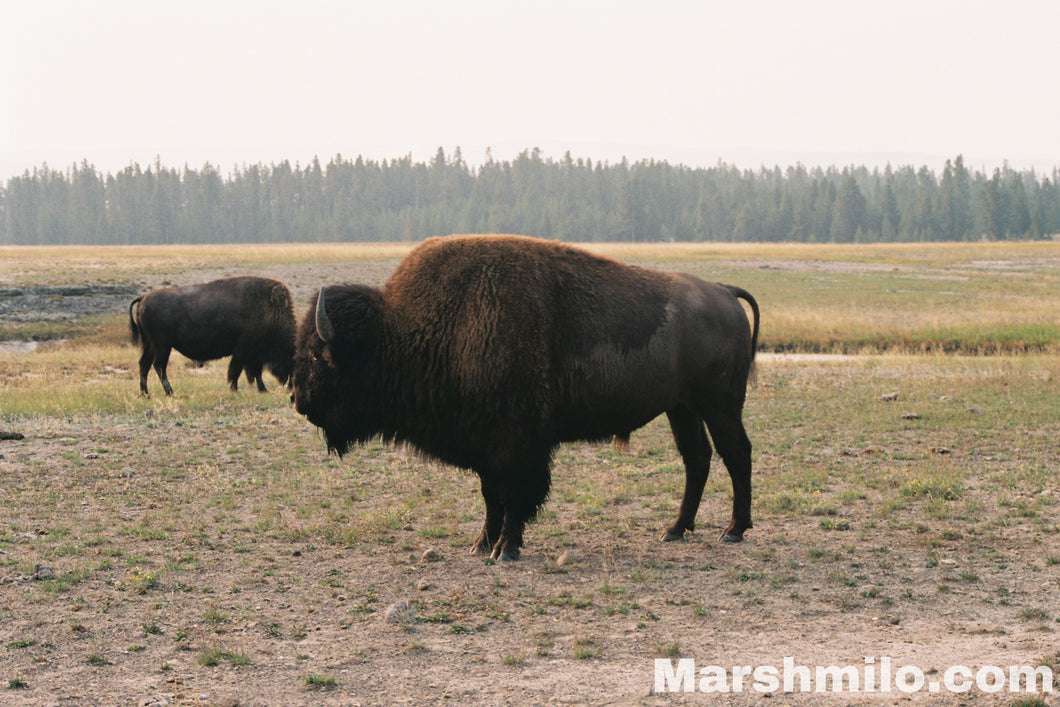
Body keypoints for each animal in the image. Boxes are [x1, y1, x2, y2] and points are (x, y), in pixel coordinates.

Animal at [132, 275, 301, 398]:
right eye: (292, 358)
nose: (292, 388)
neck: (271, 311)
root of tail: (144, 297)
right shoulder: (244, 351)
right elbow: (238, 371)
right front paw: (235, 389)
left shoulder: (251, 354)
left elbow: (252, 372)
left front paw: (261, 389)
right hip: (163, 346)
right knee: (159, 366)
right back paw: (170, 392)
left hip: (150, 345)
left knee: (144, 364)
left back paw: (145, 394)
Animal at [290, 235, 758, 559]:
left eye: (318, 354)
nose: (297, 397)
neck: (405, 331)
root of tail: (722, 290)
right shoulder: (483, 444)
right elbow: (490, 497)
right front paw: (481, 544)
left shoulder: (516, 445)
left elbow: (515, 495)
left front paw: (506, 549)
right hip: (680, 408)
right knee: (697, 458)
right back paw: (675, 529)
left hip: (720, 405)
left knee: (736, 453)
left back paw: (734, 531)